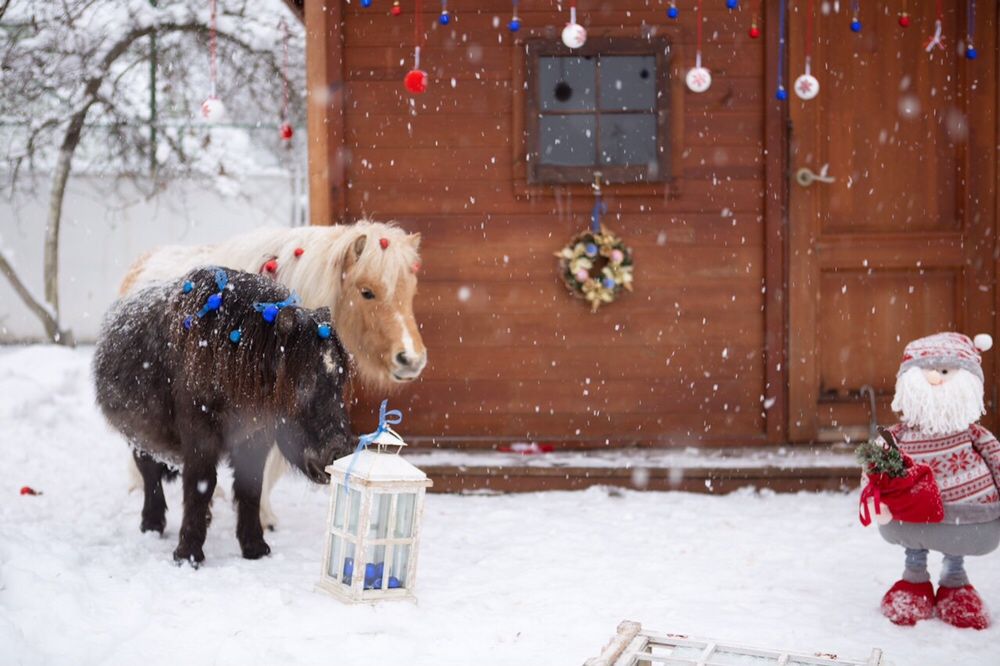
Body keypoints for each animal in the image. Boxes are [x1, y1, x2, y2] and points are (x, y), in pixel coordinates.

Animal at [94, 266, 352, 564]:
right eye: (302, 383)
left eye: (341, 381)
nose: (337, 453)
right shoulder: (200, 440)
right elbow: (200, 486)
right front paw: (188, 555)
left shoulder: (255, 440)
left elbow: (250, 488)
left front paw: (255, 548)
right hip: (141, 440)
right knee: (149, 474)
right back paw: (152, 525)